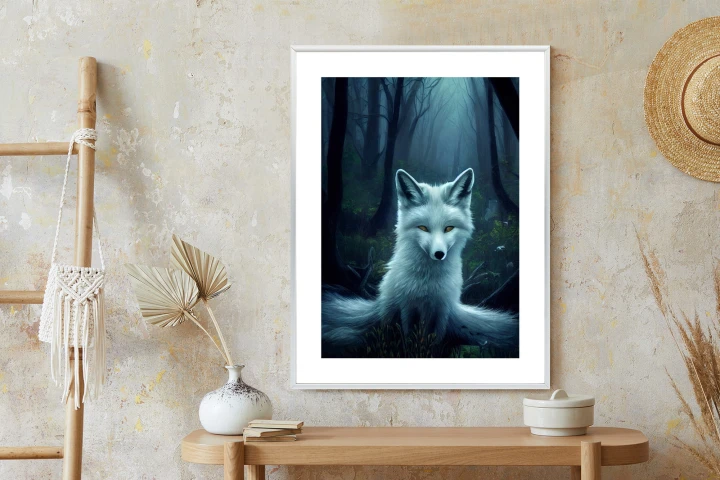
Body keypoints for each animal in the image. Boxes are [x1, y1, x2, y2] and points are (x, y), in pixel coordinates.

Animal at [322, 168, 518, 357]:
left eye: (449, 228)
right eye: (423, 228)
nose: (439, 254)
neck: (428, 282)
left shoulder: (442, 309)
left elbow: (436, 340)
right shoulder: (406, 306)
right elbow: (409, 338)